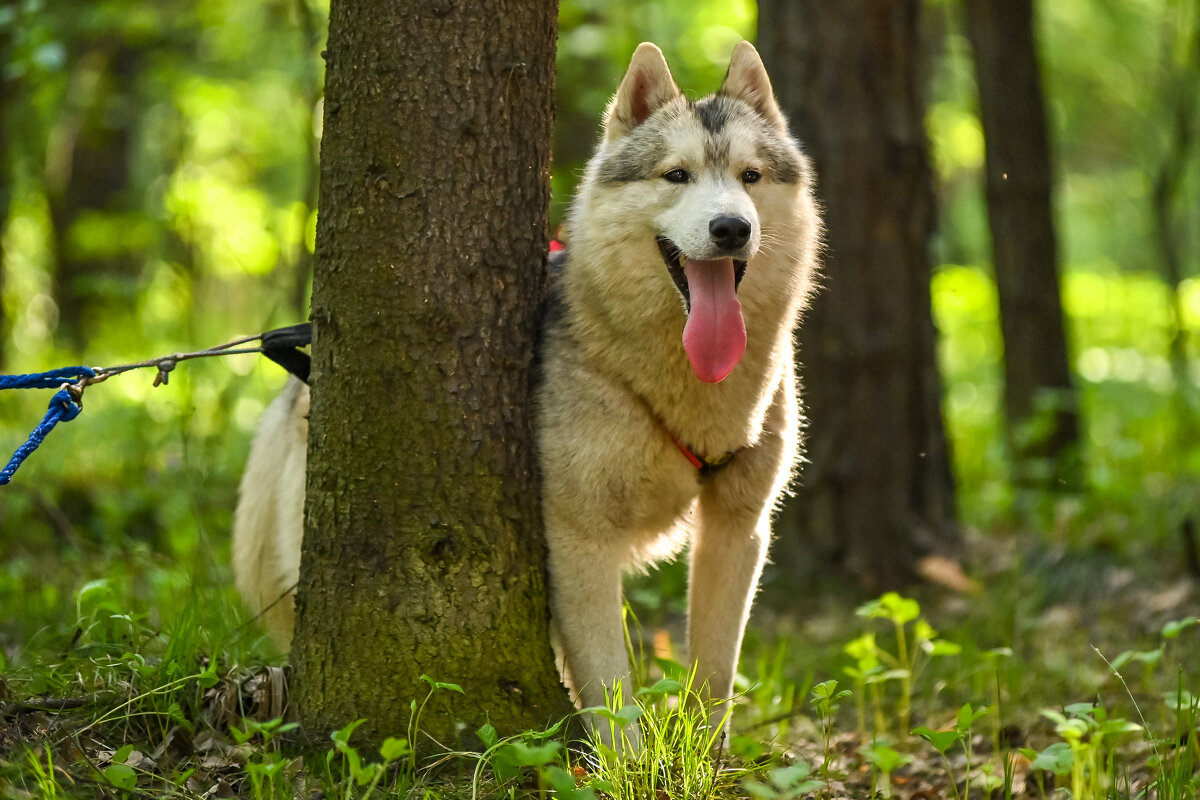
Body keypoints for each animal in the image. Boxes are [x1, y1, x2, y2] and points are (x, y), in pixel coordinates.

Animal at [230, 40, 820, 743]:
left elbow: (715, 678)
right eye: (677, 176)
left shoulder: (737, 527)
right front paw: (625, 760)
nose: (731, 228)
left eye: (750, 176)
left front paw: (700, 757)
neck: (677, 381)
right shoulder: (579, 537)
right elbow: (609, 687)